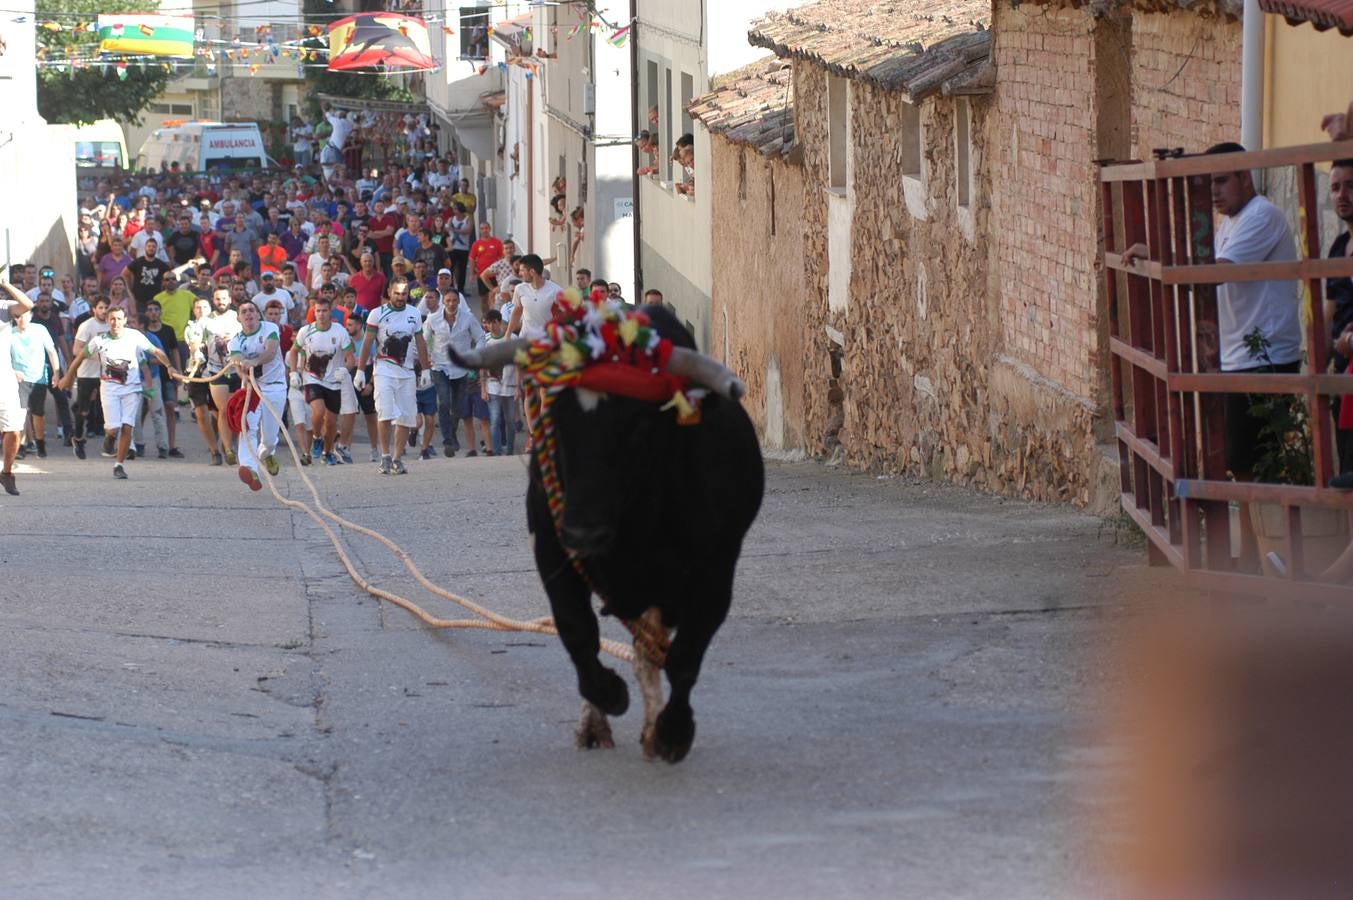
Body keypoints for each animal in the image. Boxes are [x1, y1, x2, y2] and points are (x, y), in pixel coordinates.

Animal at [454, 307, 763, 757]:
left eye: (638, 426)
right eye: (556, 422)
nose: (585, 533)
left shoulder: (716, 574)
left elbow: (684, 657)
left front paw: (673, 730)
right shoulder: (553, 554)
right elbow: (578, 633)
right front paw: (608, 695)